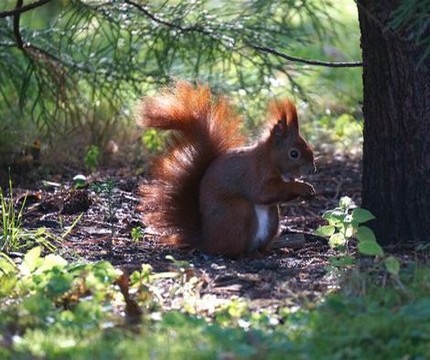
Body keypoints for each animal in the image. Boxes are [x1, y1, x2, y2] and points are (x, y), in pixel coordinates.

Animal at [139, 81, 316, 258]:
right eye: (294, 153)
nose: (312, 170)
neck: (269, 160)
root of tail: (208, 241)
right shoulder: (254, 174)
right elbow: (263, 193)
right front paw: (301, 187)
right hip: (238, 212)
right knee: (232, 248)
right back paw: (244, 254)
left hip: (272, 219)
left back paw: (269, 251)